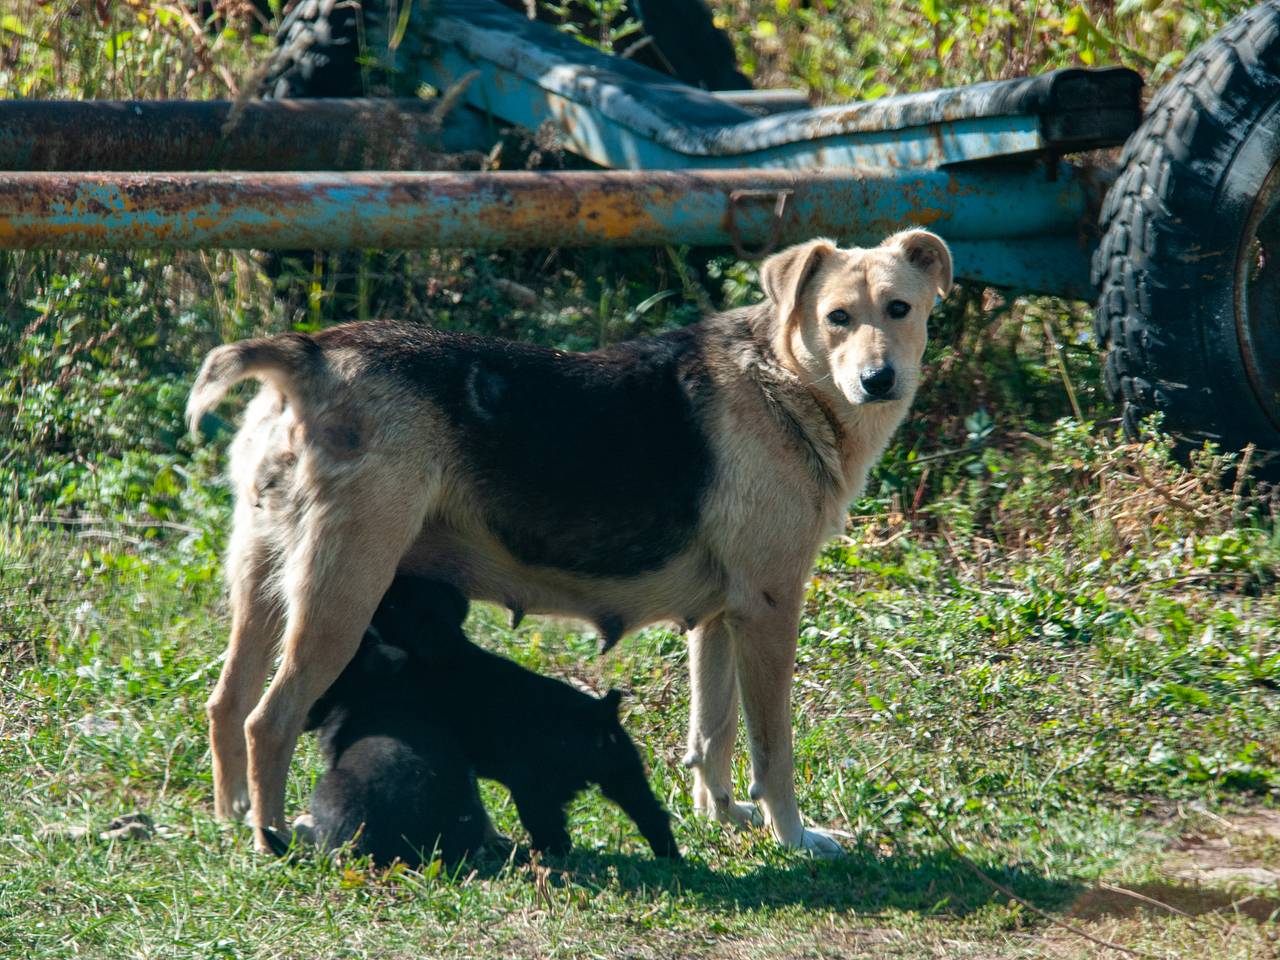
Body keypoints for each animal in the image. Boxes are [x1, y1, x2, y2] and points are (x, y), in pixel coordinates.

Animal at [376, 576, 686, 860]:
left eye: (392, 605)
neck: (451, 651)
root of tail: (599, 713)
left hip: (535, 791)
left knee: (554, 834)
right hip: (625, 775)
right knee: (651, 815)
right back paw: (670, 857)